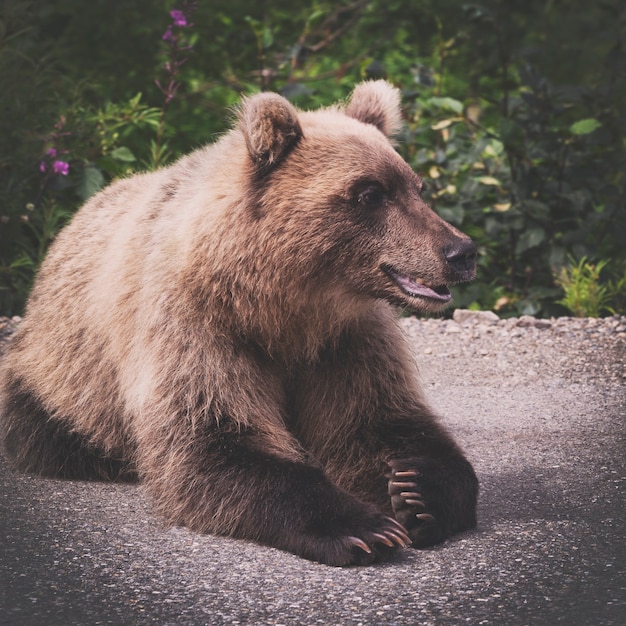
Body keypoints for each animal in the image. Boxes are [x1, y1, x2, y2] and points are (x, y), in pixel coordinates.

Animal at [1, 79, 478, 564]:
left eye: (416, 187)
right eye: (370, 193)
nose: (461, 251)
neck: (280, 307)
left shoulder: (345, 340)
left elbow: (379, 420)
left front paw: (415, 493)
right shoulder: (198, 325)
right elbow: (215, 440)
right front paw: (363, 527)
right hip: (63, 369)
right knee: (47, 424)